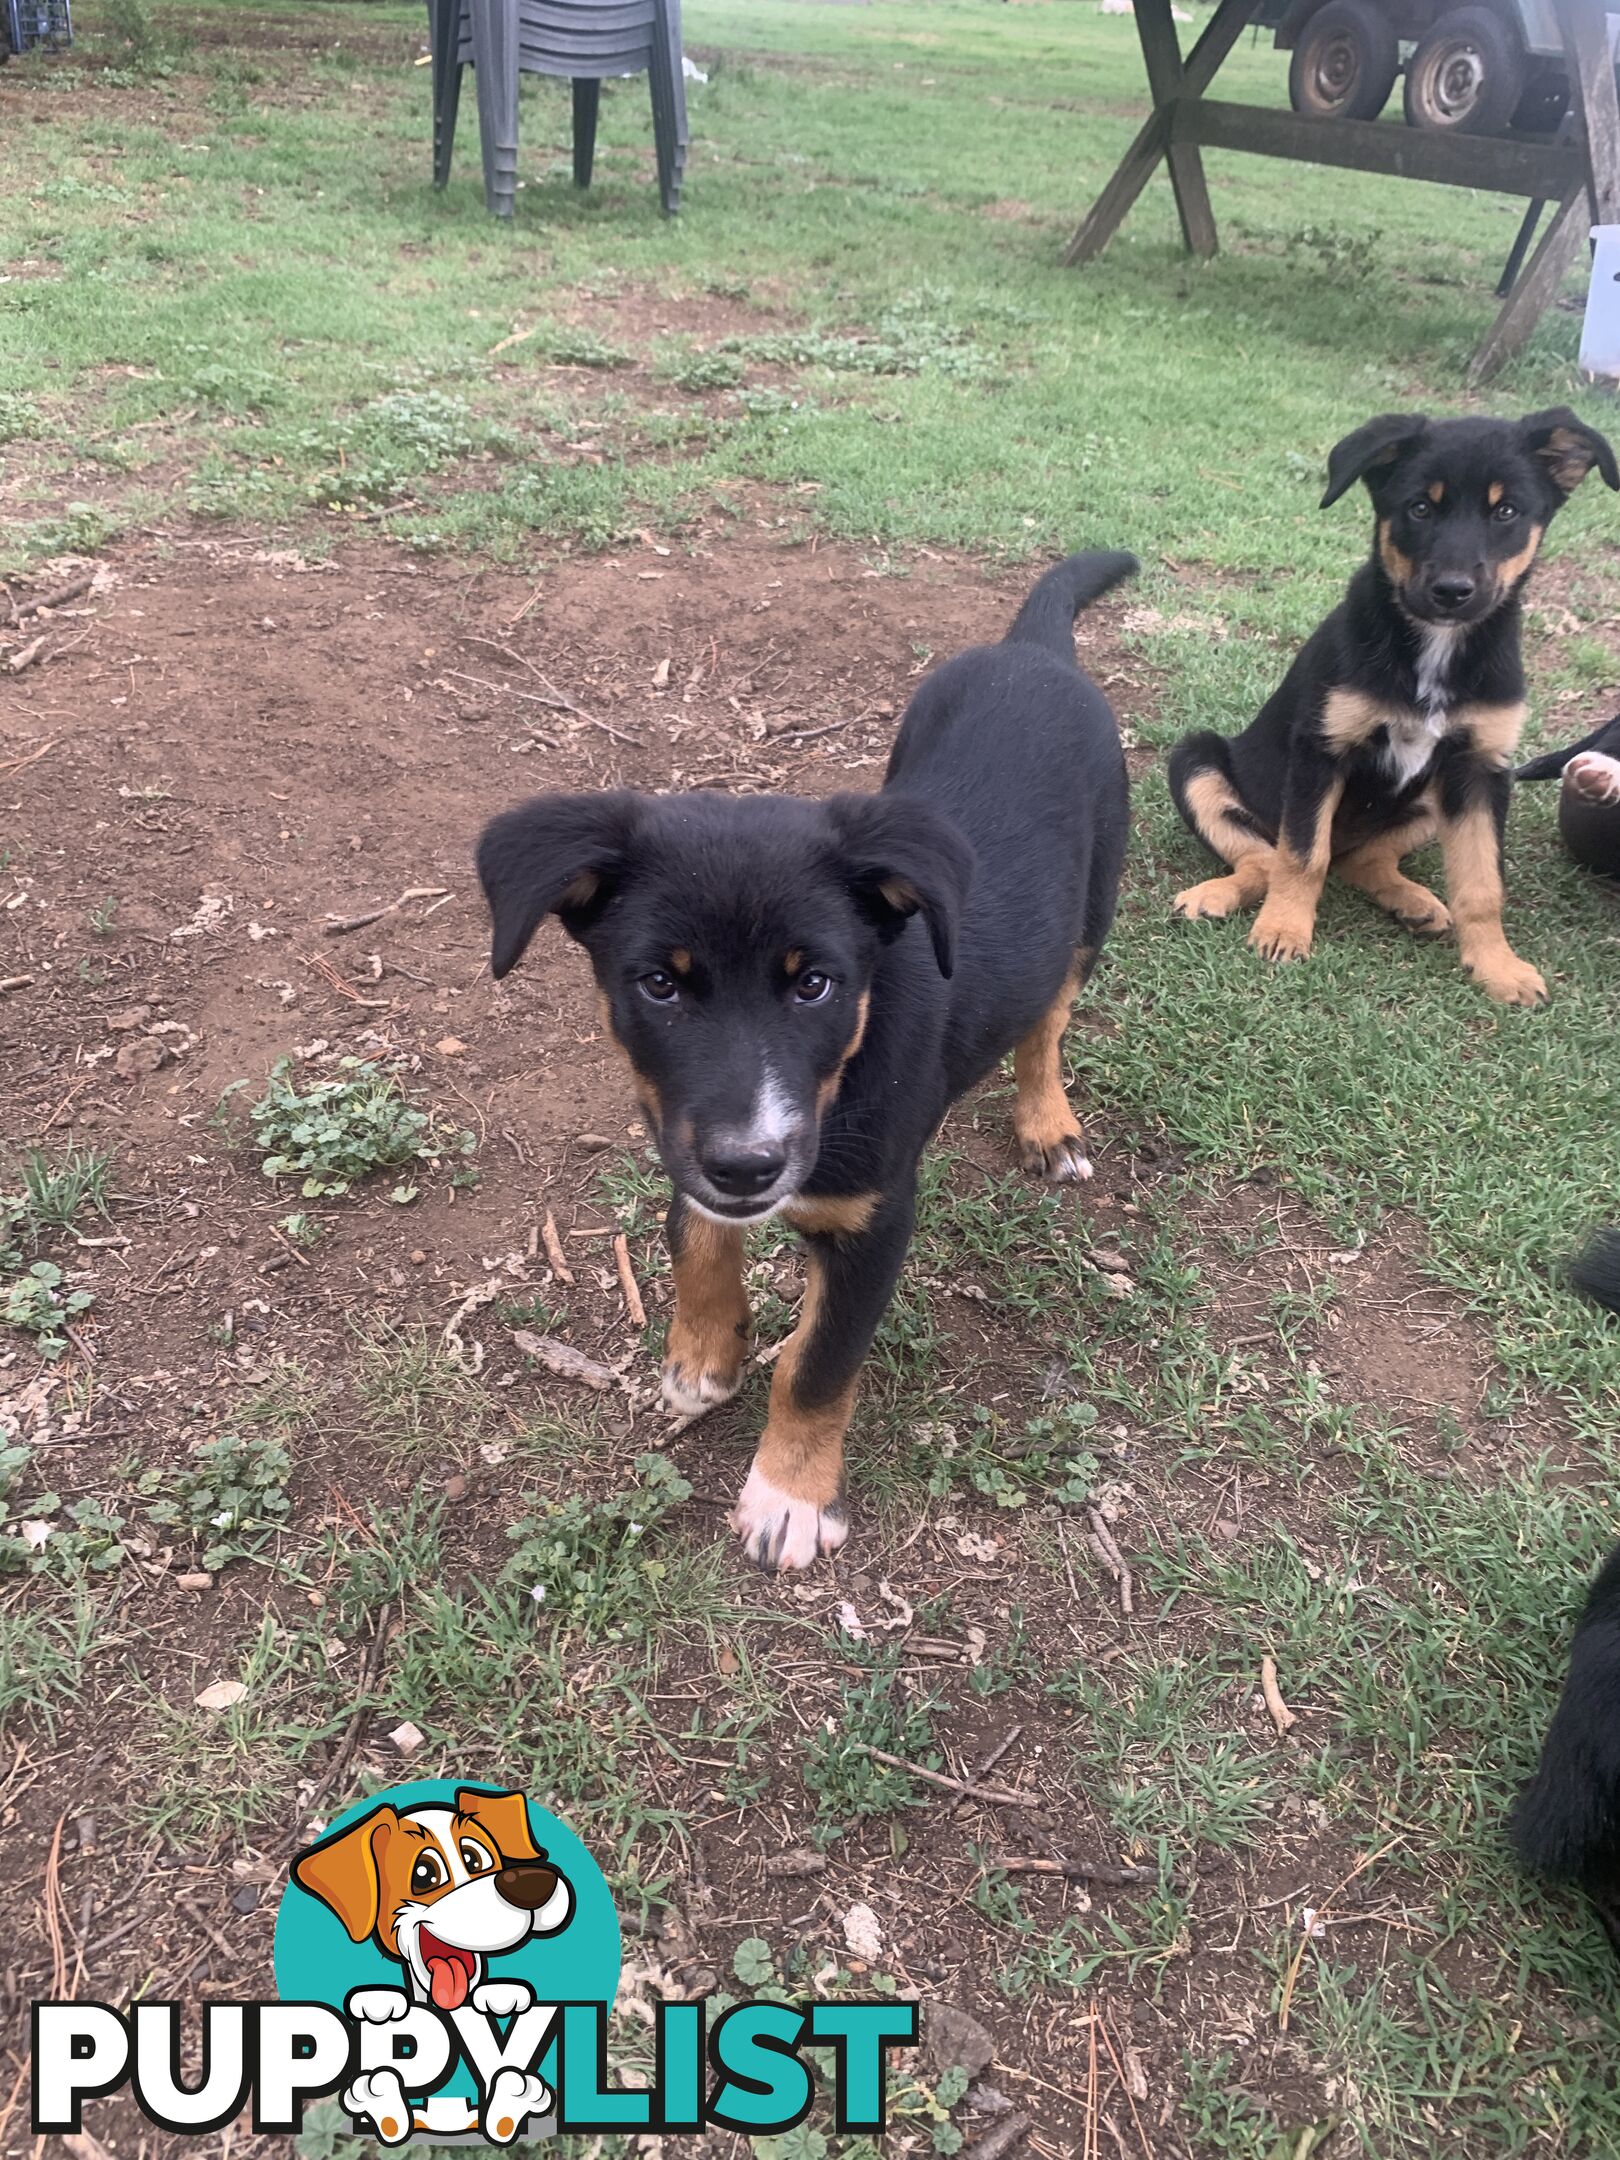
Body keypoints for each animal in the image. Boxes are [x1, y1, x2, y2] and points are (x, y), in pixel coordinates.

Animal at [475, 552, 1131, 1572]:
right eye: (658, 985)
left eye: (815, 984)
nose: (748, 1166)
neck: (851, 1060)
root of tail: (1036, 652)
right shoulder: (685, 1132)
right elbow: (696, 1233)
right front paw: (705, 1353)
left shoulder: (876, 1223)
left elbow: (818, 1367)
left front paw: (789, 1495)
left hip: (1092, 910)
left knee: (1047, 1022)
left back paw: (1047, 1121)